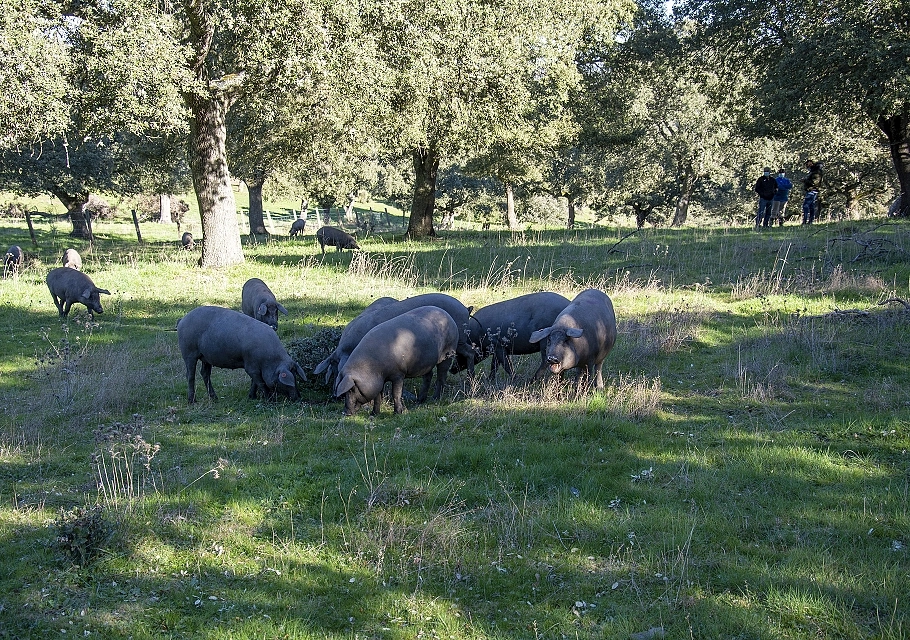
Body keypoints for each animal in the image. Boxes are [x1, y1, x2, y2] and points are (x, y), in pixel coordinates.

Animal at [176, 304, 308, 400]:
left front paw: (252, 397)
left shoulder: (255, 367)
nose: (298, 397)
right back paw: (192, 400)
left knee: (204, 373)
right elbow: (260, 382)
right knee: (190, 375)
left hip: (206, 357)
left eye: (295, 376)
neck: (269, 359)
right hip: (188, 352)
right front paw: (269, 399)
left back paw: (215, 398)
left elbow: (254, 382)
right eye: (288, 381)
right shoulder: (251, 365)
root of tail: (182, 320)